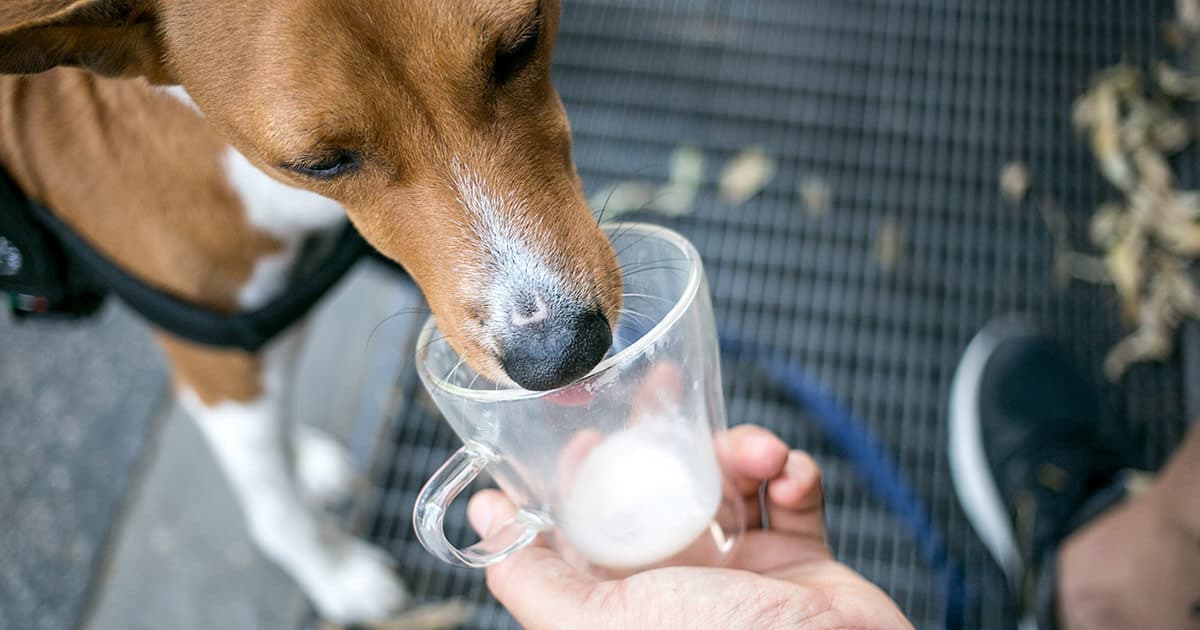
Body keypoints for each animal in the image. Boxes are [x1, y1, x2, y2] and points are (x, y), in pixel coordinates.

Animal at [0, 0, 619, 619]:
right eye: (319, 163)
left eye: (521, 45)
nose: (562, 353)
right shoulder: (217, 357)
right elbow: (275, 505)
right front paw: (334, 573)